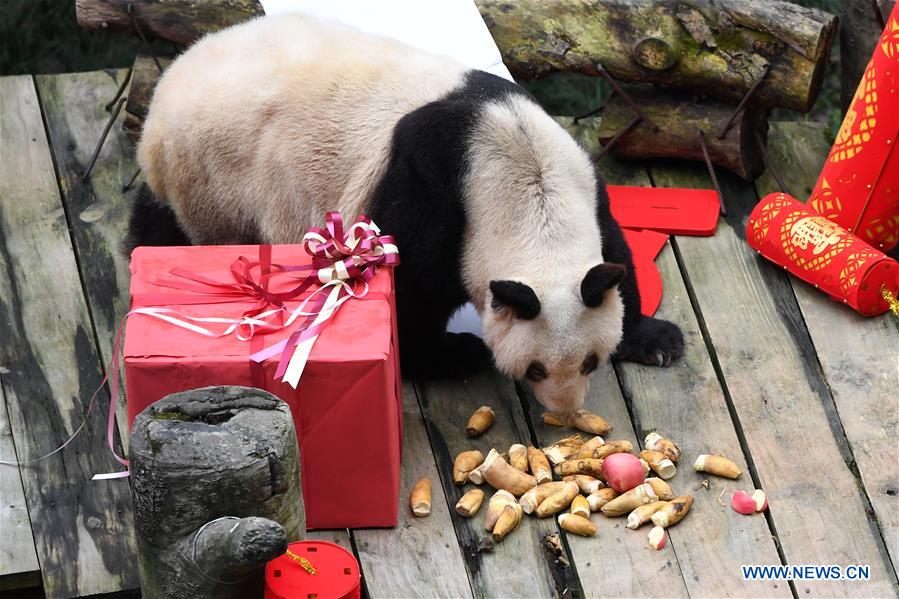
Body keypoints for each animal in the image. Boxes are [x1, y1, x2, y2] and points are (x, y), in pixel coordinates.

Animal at [128, 13, 685, 415]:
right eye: (535, 370)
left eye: (591, 361)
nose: (564, 410)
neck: (524, 182)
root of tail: (174, 74)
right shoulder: (432, 190)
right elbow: (410, 289)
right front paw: (451, 354)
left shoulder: (579, 177)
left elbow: (615, 252)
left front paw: (654, 338)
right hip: (208, 177)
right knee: (167, 228)